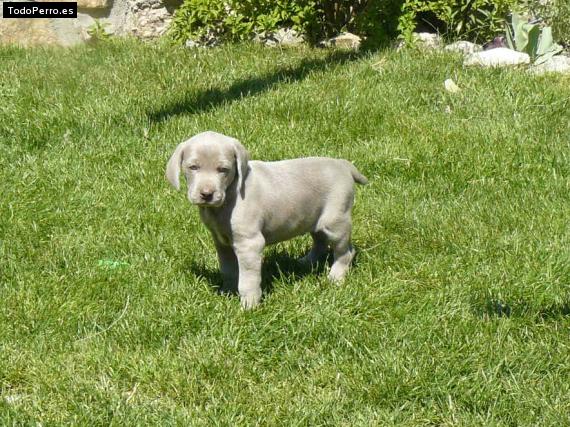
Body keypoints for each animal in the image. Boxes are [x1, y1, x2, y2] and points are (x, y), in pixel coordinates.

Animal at [164, 132, 368, 310]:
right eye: (193, 167)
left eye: (223, 170)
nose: (207, 194)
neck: (228, 198)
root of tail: (343, 165)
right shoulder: (222, 242)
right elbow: (228, 270)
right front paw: (226, 292)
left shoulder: (249, 244)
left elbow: (247, 281)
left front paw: (249, 306)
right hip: (314, 218)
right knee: (320, 241)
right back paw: (305, 262)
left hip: (335, 222)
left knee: (345, 252)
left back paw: (336, 277)